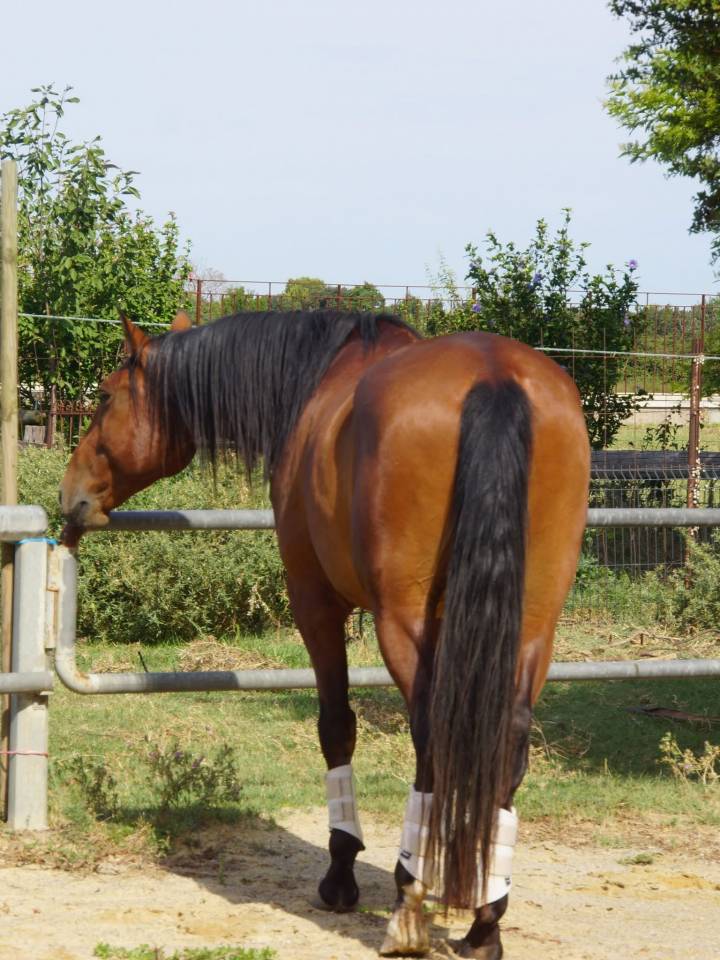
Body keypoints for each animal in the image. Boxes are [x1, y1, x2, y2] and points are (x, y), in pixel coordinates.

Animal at [60, 307, 589, 958]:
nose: (71, 494)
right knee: (506, 744)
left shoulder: (314, 603)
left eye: (106, 397)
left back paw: (410, 904)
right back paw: (485, 920)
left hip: (403, 622)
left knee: (431, 738)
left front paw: (341, 872)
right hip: (535, 625)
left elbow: (336, 727)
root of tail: (494, 375)